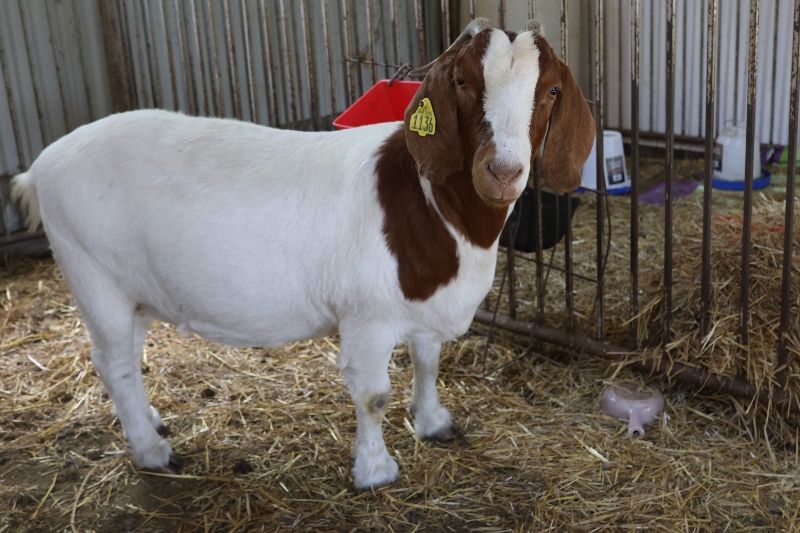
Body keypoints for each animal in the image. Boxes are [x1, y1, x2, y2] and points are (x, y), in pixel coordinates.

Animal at [9, 18, 592, 488]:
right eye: (464, 82)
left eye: (551, 89)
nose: (503, 170)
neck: (433, 205)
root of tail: (41, 166)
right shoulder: (367, 317)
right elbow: (373, 394)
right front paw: (375, 471)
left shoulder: (424, 305)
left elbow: (429, 361)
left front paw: (434, 423)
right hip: (91, 272)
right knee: (112, 362)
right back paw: (153, 451)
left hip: (131, 287)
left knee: (128, 355)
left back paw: (151, 423)